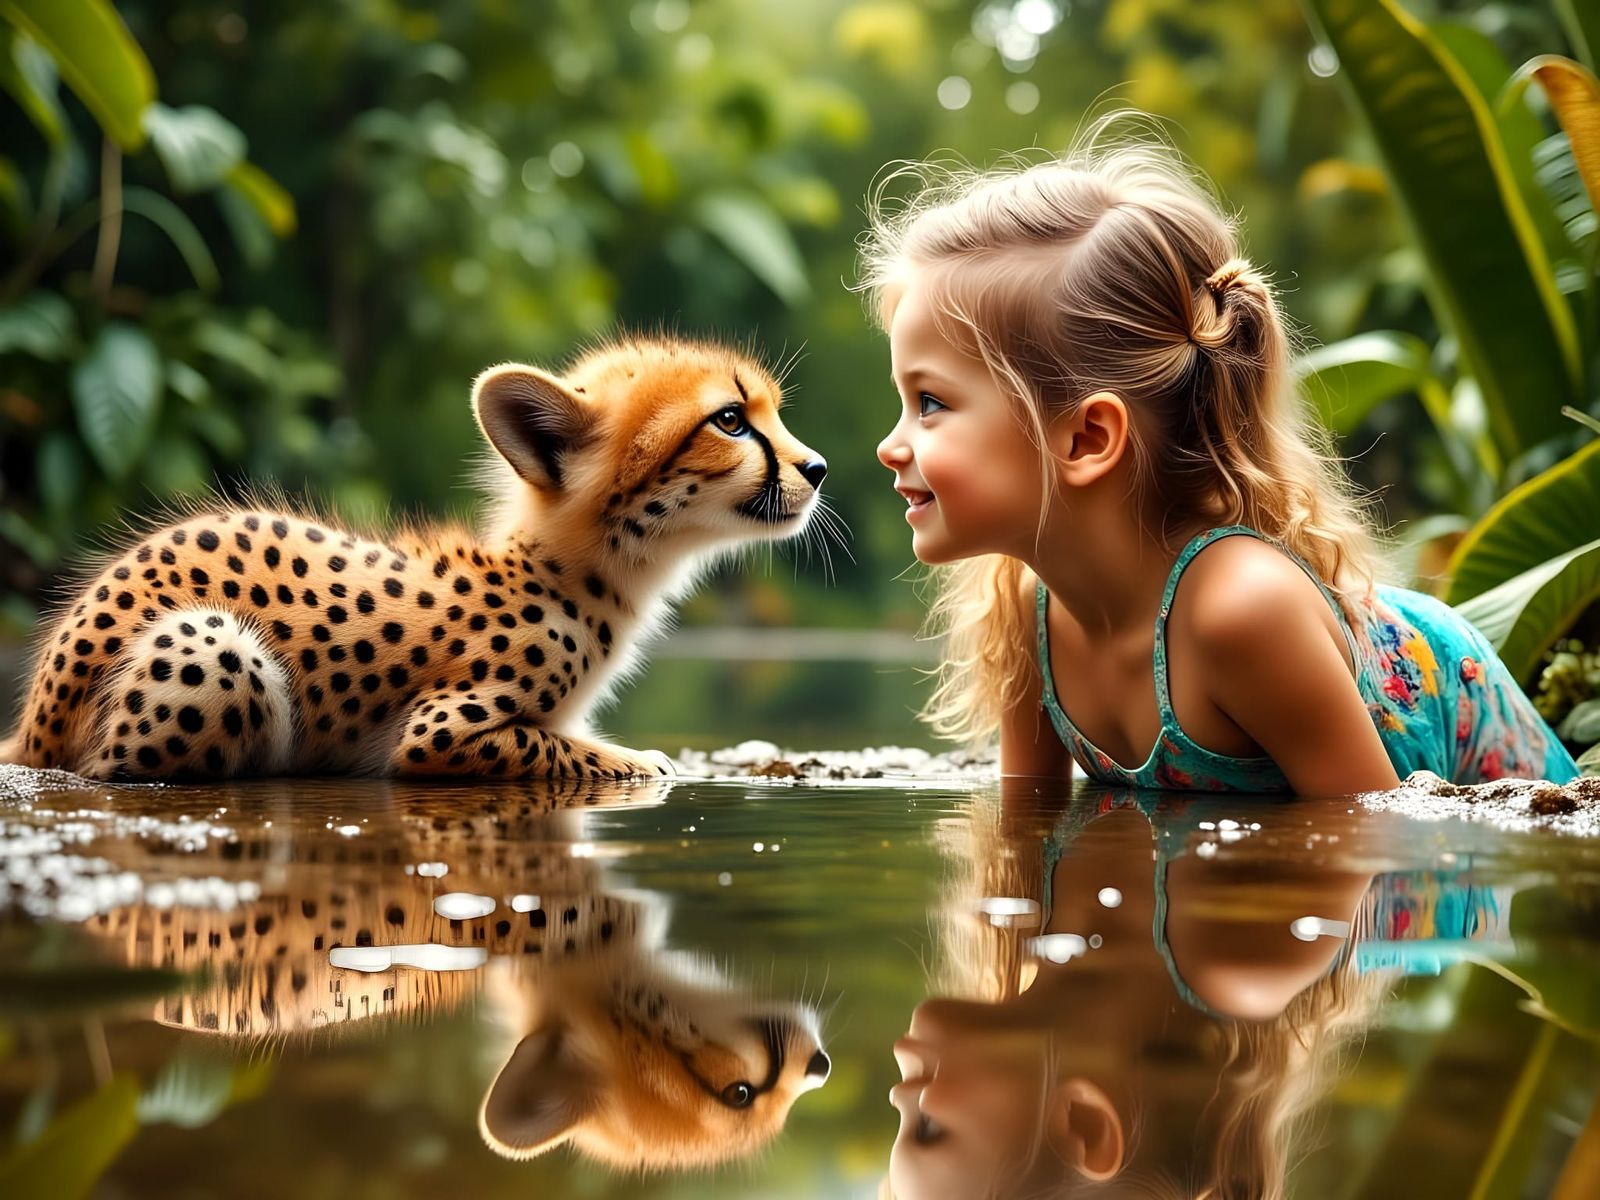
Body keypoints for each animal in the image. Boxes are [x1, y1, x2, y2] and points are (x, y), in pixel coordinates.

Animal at [1, 337, 827, 781]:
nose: (816, 468)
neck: (585, 570)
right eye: (730, 420)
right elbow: (576, 752)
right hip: (212, 644)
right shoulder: (439, 733)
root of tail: (35, 724)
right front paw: (643, 762)